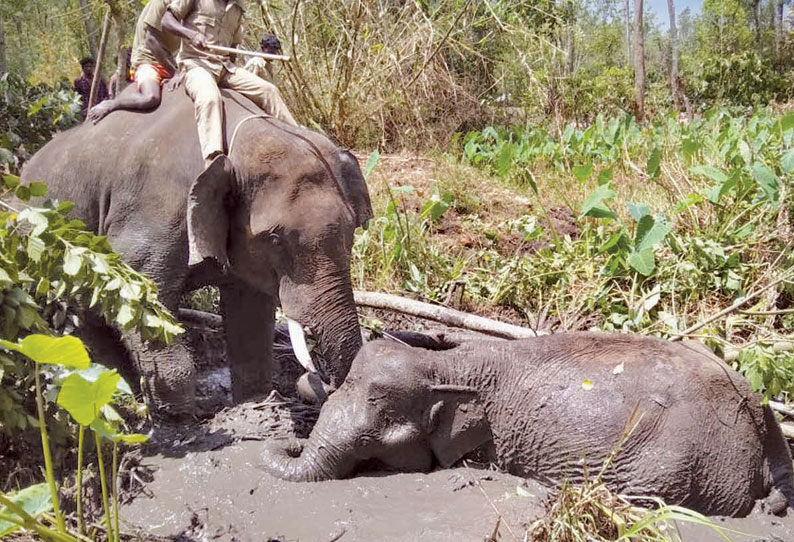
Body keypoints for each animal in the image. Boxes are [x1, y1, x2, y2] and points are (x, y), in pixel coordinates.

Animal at [20, 85, 372, 418]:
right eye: (275, 239)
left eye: (352, 229)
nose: (319, 381)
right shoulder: (155, 213)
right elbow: (140, 296)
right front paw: (181, 422)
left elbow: (249, 312)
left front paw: (255, 401)